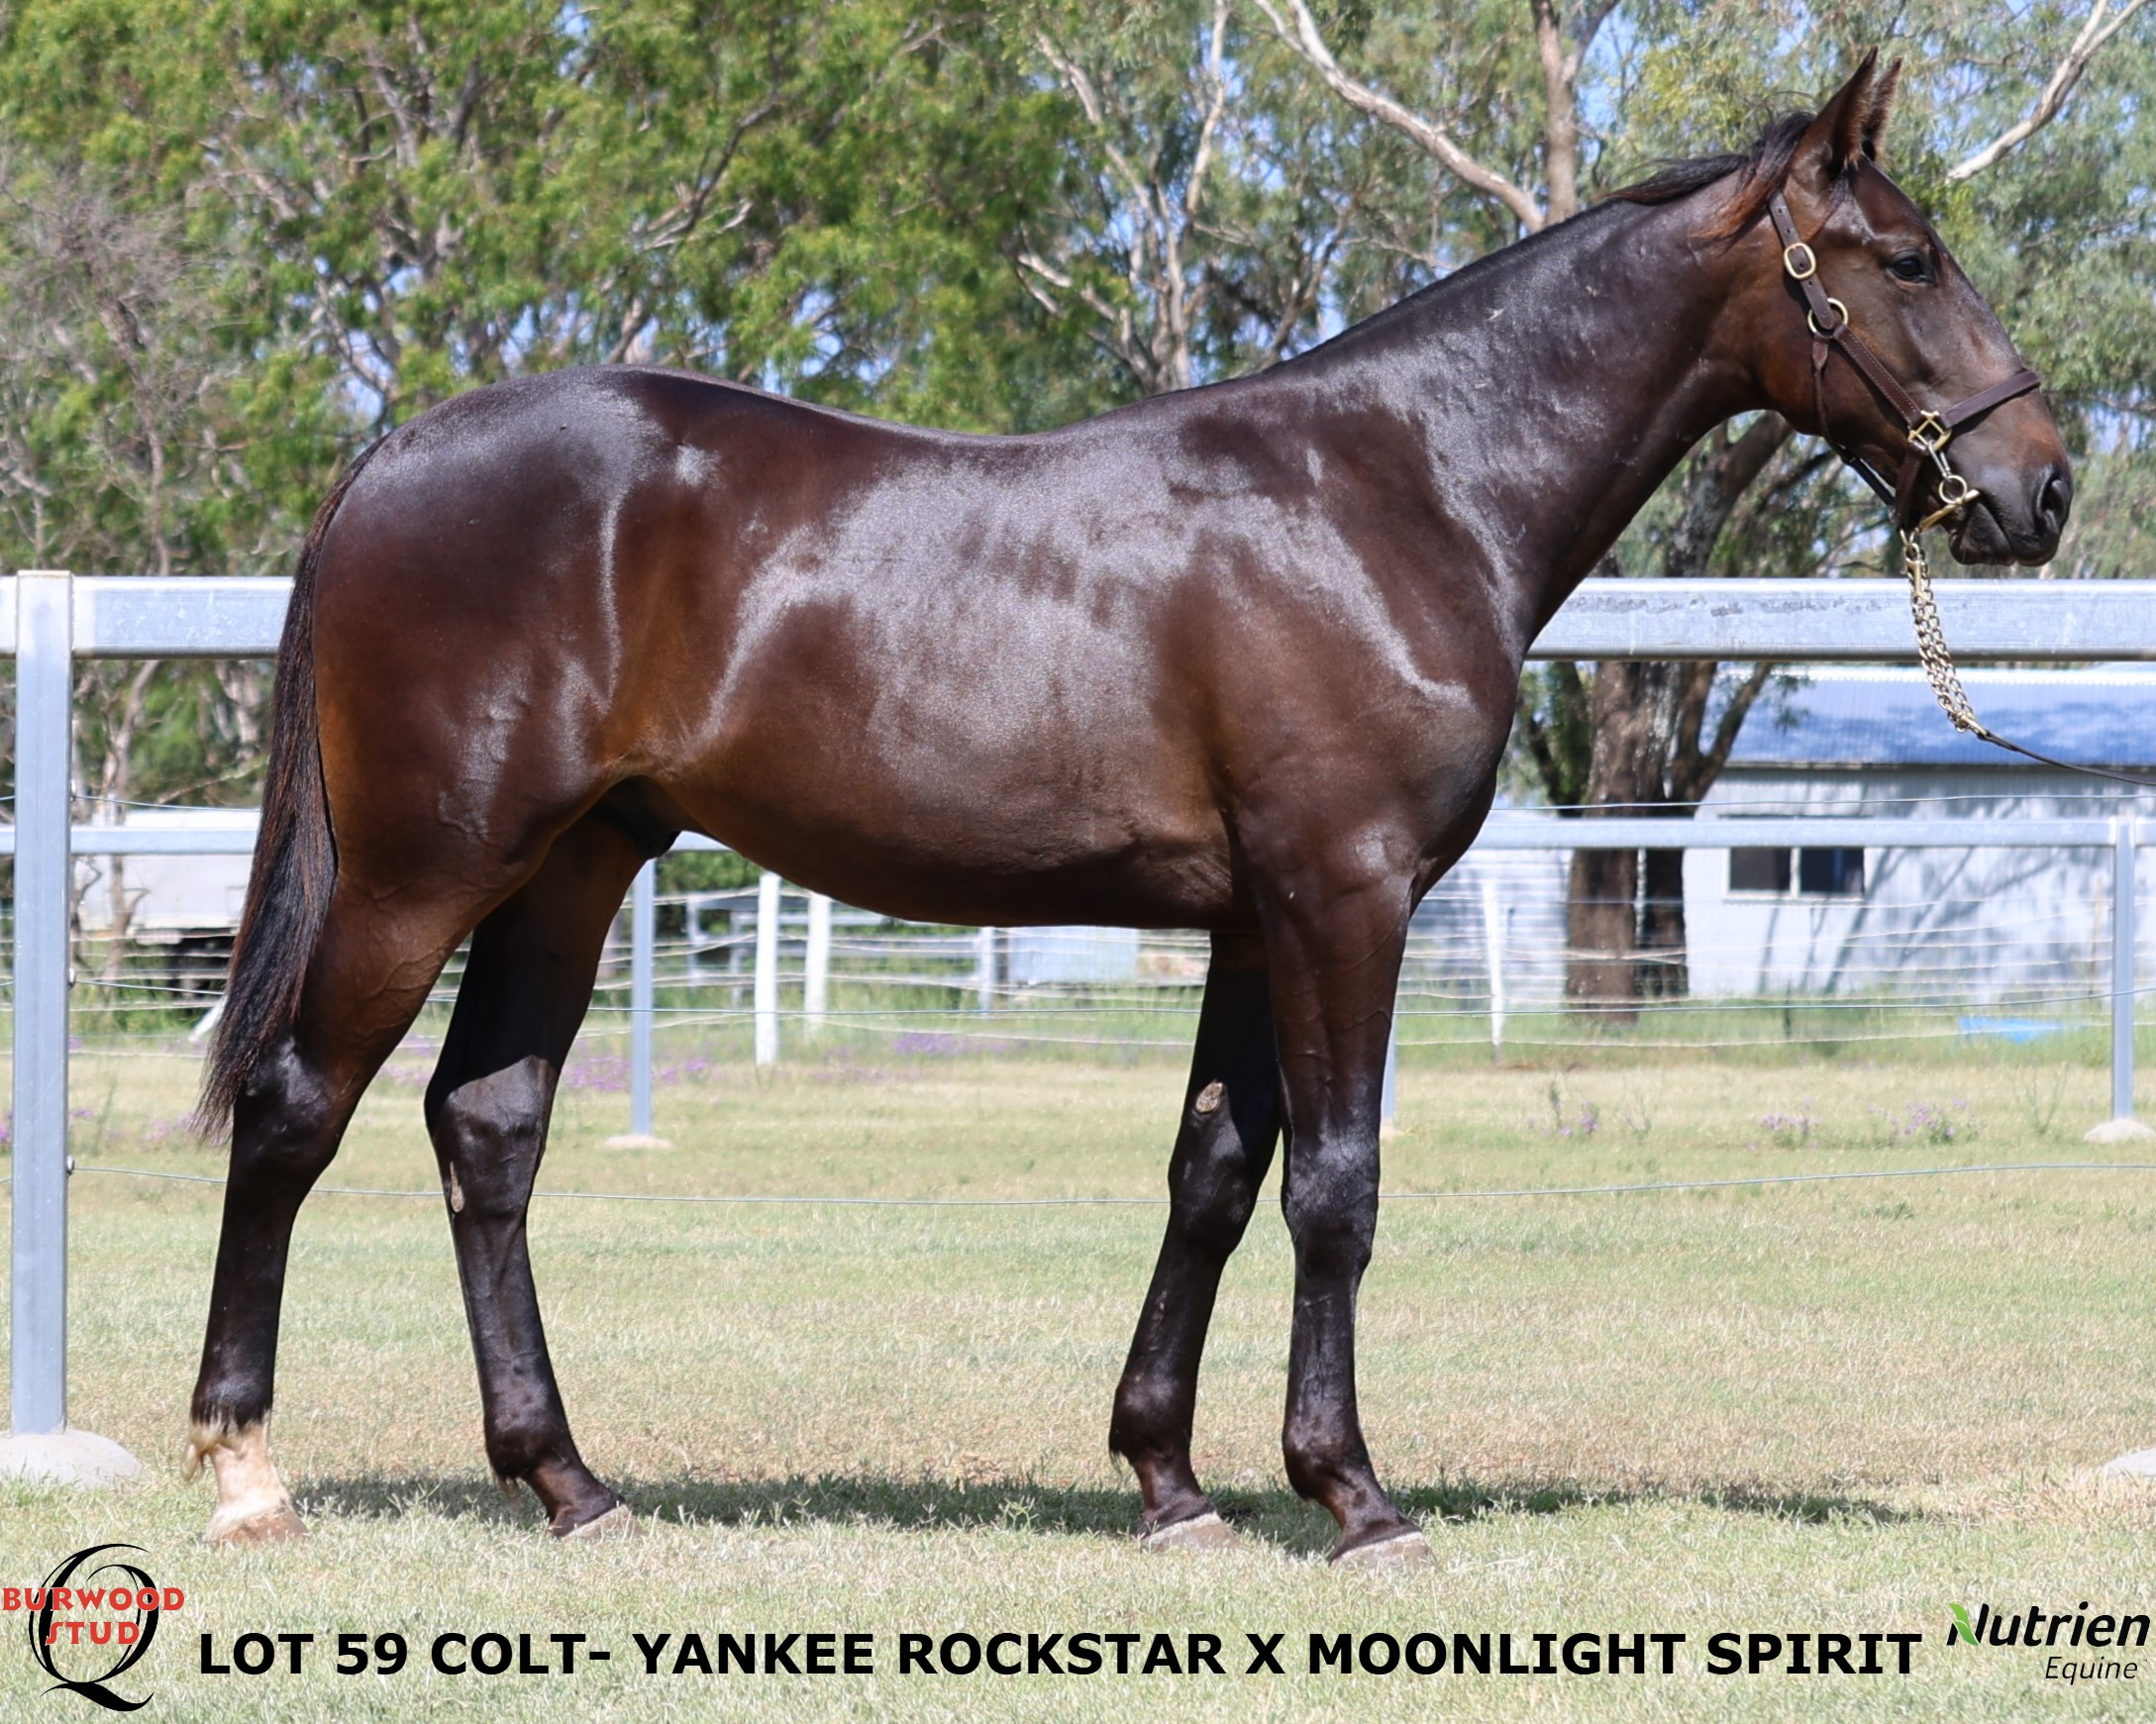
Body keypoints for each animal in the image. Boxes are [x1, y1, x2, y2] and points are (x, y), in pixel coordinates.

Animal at [185, 54, 2070, 1565]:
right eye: (1908, 259)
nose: (2041, 487)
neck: (1402, 486)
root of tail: (394, 449)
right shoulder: (1342, 896)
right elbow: (1336, 1188)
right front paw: (1355, 1497)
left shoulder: (1250, 913)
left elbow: (1214, 1178)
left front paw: (1170, 1485)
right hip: (424, 871)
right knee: (295, 1109)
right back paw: (245, 1470)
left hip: (576, 864)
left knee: (488, 1128)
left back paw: (569, 1481)